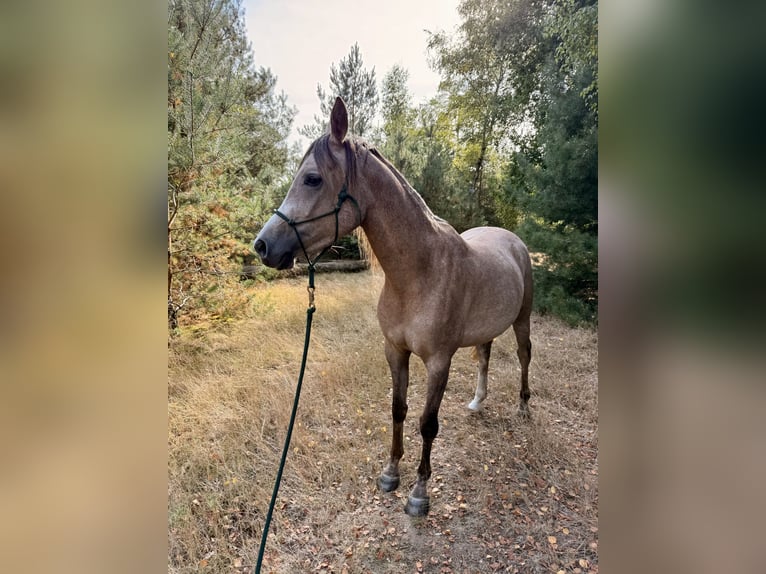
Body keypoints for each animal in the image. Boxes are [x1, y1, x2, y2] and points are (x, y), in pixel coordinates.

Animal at [253, 97, 533, 517]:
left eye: (313, 179)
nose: (262, 245)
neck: (419, 275)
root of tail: (511, 239)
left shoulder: (438, 362)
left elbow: (428, 423)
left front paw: (419, 493)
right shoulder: (395, 351)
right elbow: (398, 410)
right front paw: (390, 474)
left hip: (522, 319)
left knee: (523, 355)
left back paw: (524, 407)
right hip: (488, 328)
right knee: (484, 356)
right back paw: (477, 401)